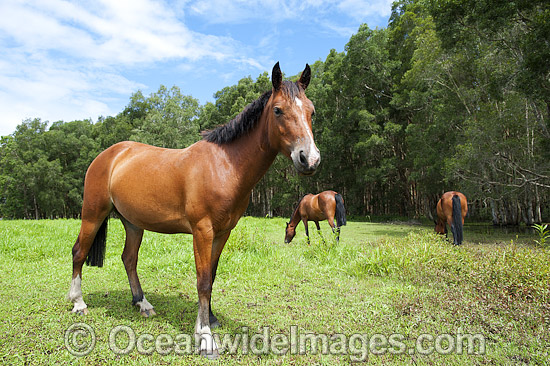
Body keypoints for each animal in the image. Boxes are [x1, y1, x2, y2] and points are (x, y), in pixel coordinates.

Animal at [68, 62, 324, 358]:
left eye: (312, 111)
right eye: (278, 110)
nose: (309, 159)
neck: (225, 166)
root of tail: (108, 155)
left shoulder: (223, 233)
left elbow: (211, 277)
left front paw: (210, 318)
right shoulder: (202, 231)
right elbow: (202, 281)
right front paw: (205, 337)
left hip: (133, 223)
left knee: (129, 259)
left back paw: (143, 304)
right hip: (93, 214)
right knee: (79, 252)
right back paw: (78, 303)